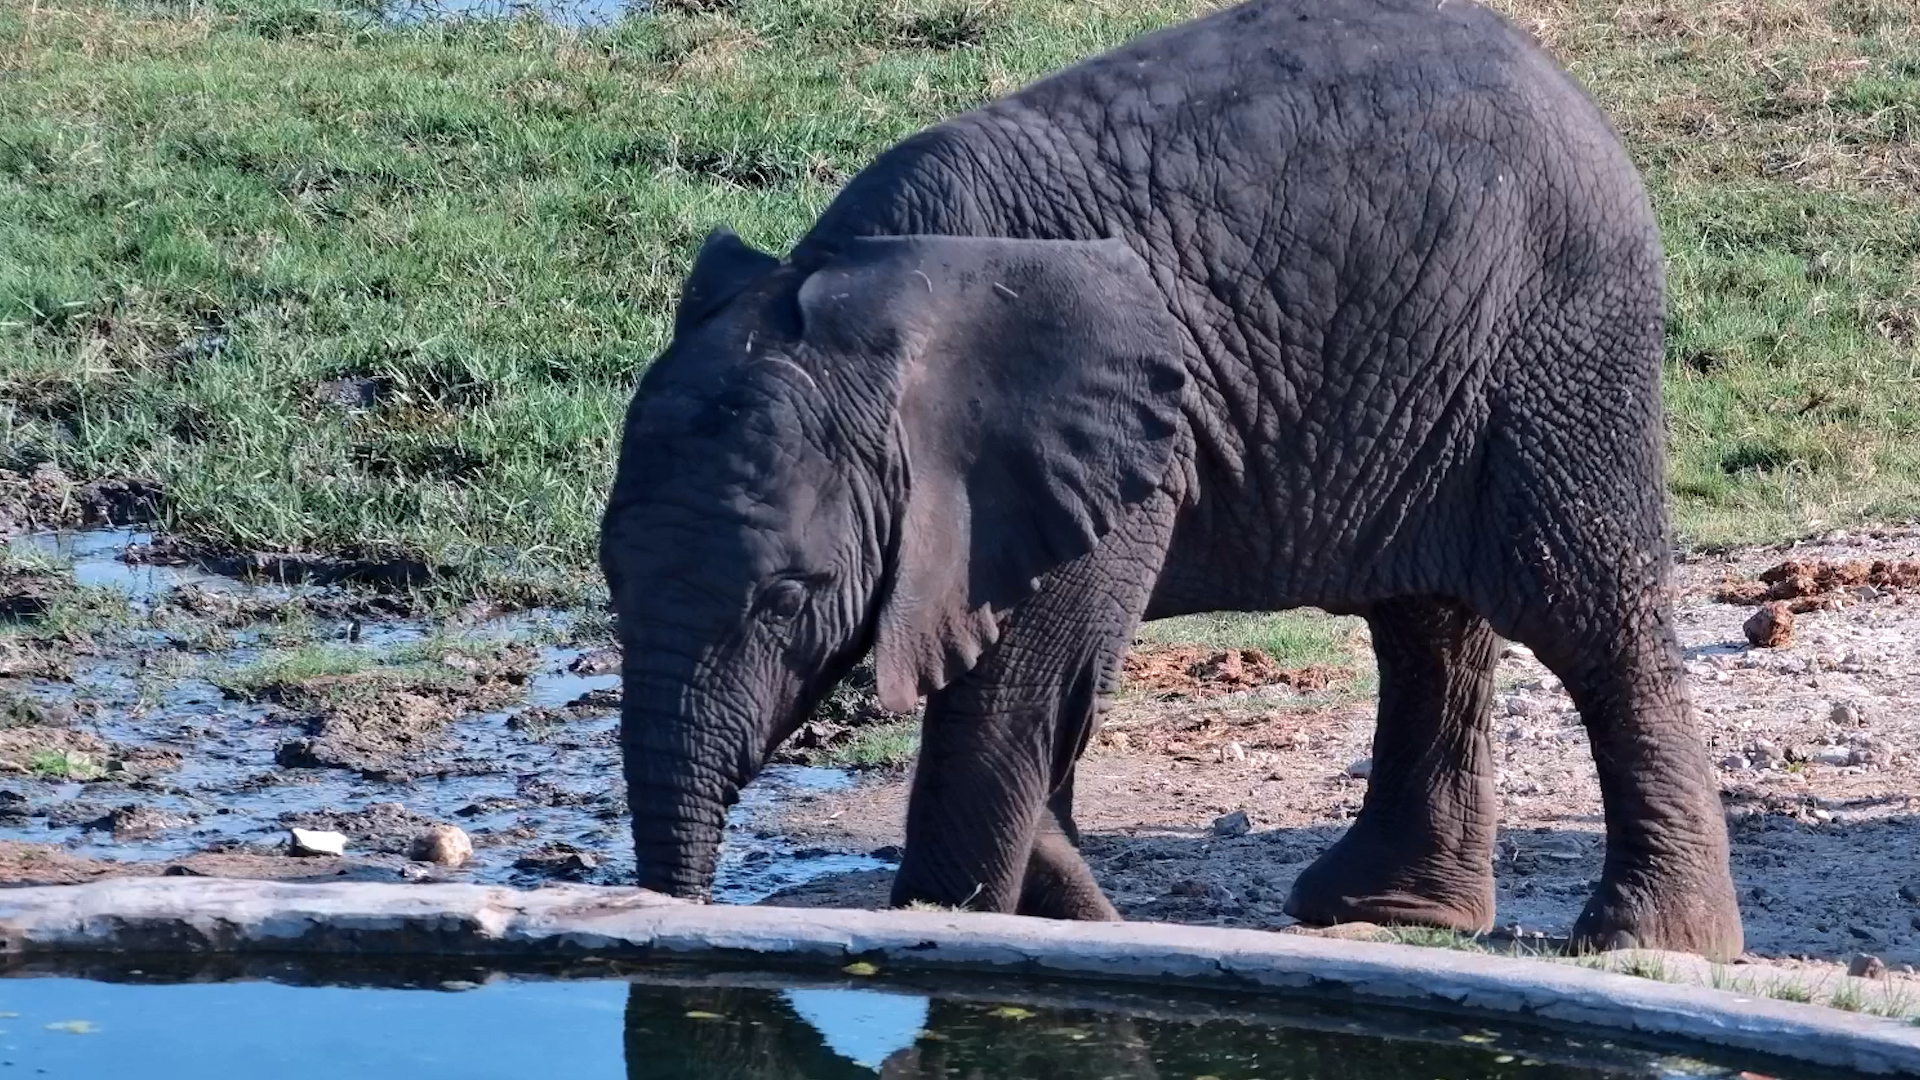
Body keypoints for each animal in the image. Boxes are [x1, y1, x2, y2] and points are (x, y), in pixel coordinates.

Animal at [599, 0, 1744, 958]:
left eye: (790, 599)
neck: (862, 285)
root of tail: (1565, 84)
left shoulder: (1085, 464)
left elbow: (1019, 697)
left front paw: (953, 924)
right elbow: (1029, 710)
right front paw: (1067, 911)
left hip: (1559, 348)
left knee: (1586, 612)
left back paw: (1645, 942)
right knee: (1427, 625)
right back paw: (1387, 912)